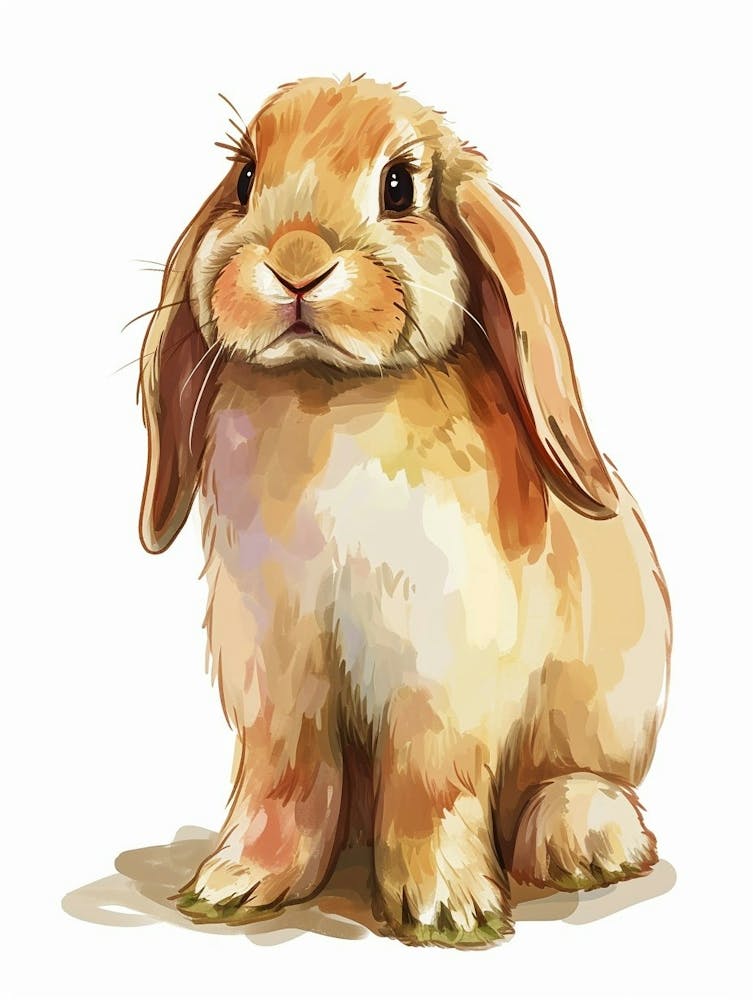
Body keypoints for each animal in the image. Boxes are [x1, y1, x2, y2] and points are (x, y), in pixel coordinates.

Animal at [137, 75, 671, 948]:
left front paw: (445, 908)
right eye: (245, 180)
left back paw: (582, 842)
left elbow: (431, 778)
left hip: (598, 728)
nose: (295, 264)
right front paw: (236, 882)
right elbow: (284, 772)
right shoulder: (273, 659)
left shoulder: (442, 657)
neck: (329, 392)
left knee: (576, 784)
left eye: (400, 186)